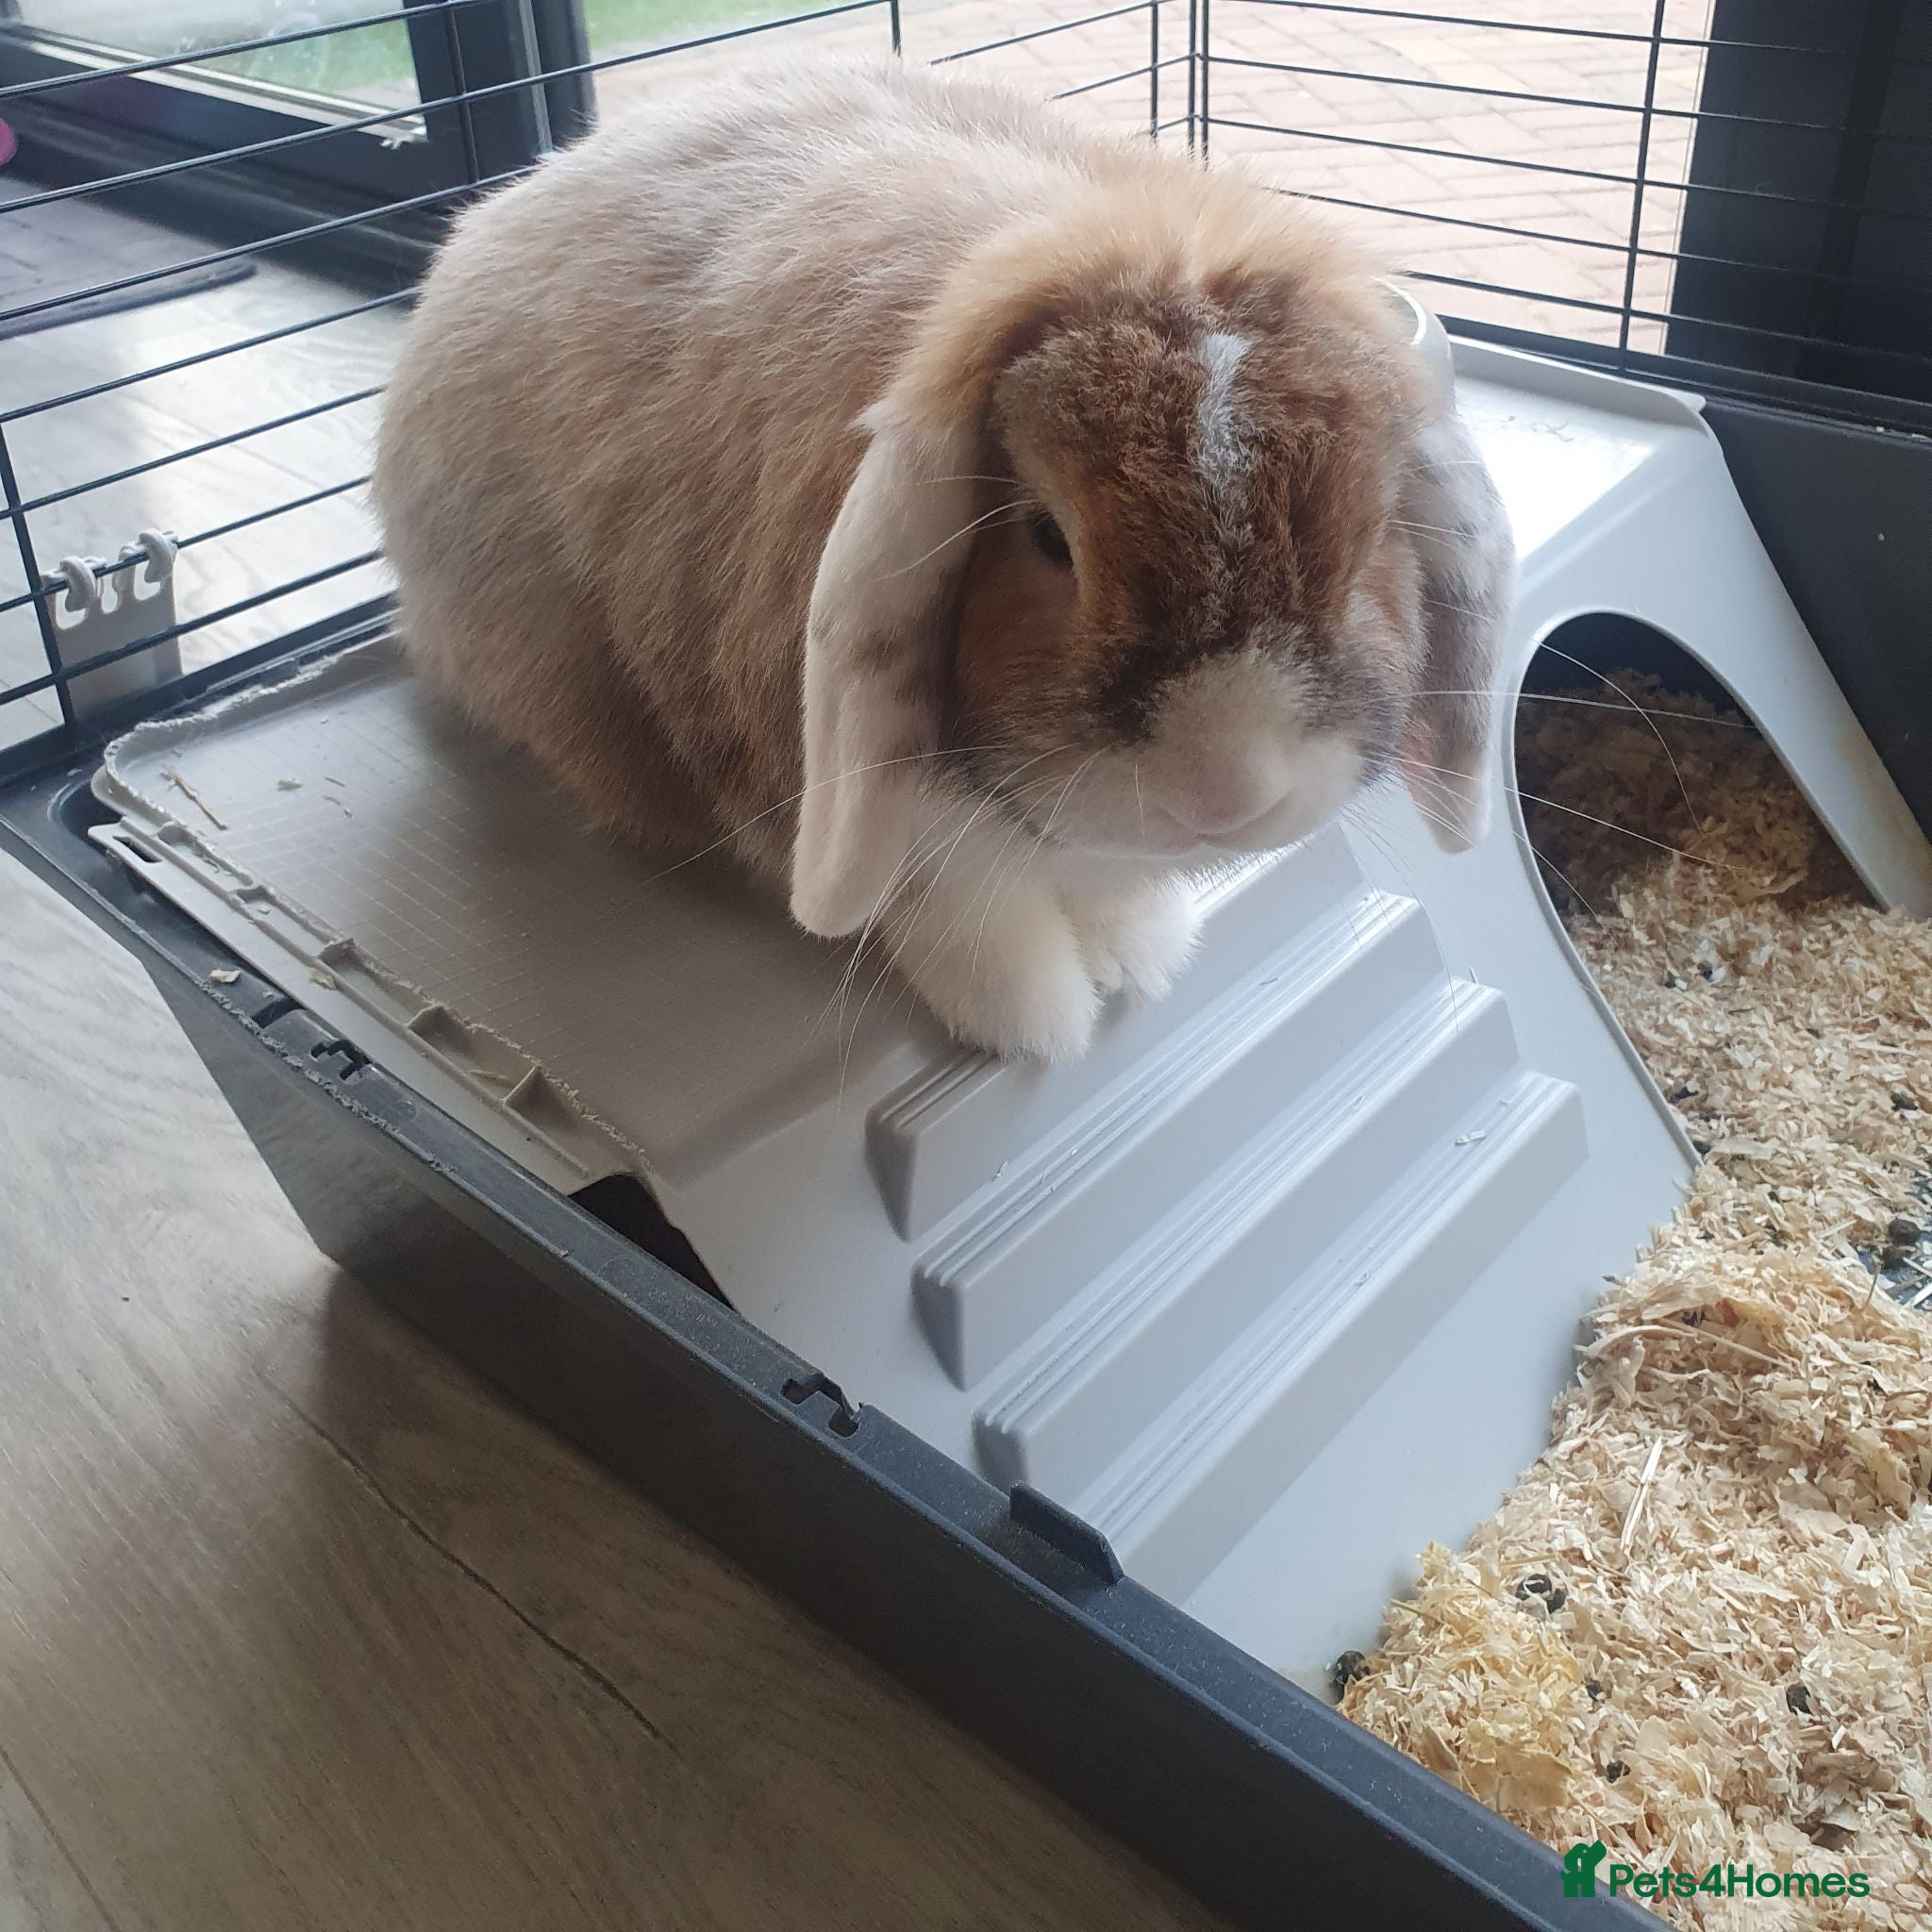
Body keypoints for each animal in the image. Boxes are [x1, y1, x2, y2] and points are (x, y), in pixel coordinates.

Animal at [372, 57, 1512, 1062]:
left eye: (1371, 536)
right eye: (1048, 536)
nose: (1224, 791)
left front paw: (1136, 954)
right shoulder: (892, 819)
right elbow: (962, 914)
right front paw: (1035, 1023)